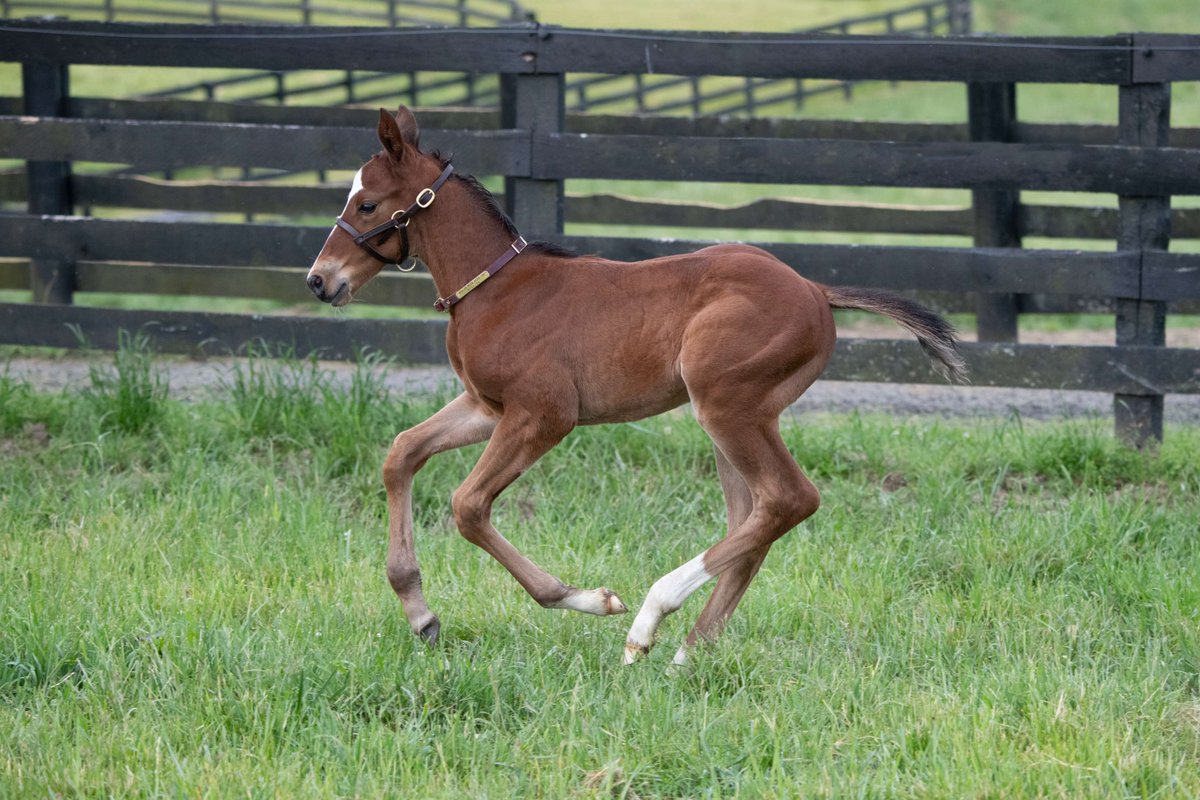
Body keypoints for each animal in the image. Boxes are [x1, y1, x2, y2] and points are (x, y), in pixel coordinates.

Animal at [306, 107, 967, 665]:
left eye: (367, 205)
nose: (319, 280)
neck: (495, 291)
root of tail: (814, 289)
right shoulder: (486, 406)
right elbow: (402, 453)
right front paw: (420, 615)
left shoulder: (544, 414)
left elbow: (468, 506)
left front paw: (587, 599)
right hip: (738, 415)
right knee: (754, 517)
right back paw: (687, 656)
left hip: (727, 406)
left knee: (787, 499)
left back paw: (650, 620)